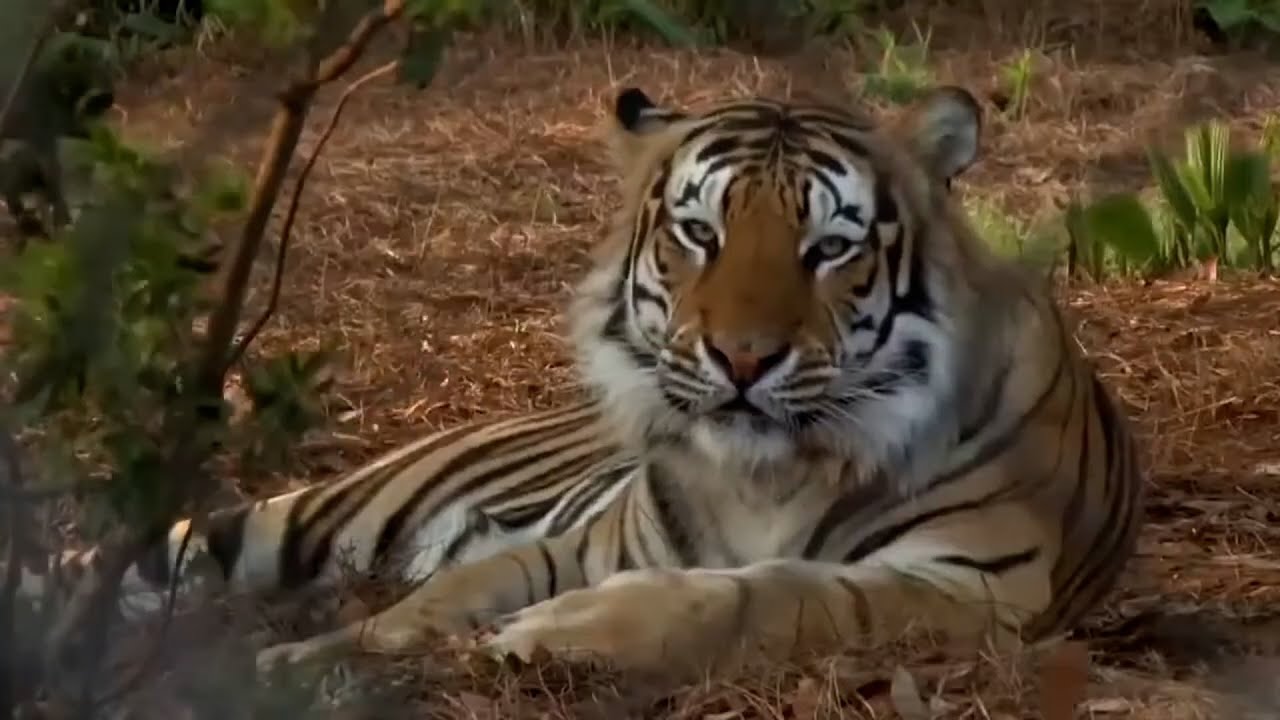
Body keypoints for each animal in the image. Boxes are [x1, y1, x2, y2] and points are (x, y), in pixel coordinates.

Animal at [16, 83, 1143, 682]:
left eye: (830, 247)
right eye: (699, 233)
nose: (741, 359)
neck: (764, 476)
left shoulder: (970, 583)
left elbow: (763, 594)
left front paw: (554, 635)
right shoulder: (592, 541)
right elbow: (456, 589)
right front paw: (322, 658)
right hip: (293, 521)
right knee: (116, 565)